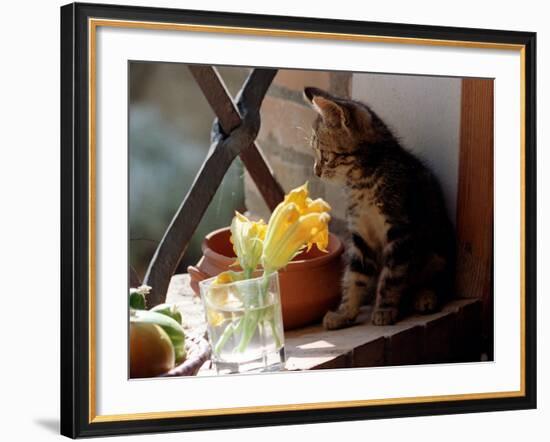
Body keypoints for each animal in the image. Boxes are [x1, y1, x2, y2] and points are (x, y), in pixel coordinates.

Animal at [304, 87, 454, 328]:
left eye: (325, 155)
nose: (316, 171)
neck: (362, 182)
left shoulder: (401, 231)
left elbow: (391, 277)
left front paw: (384, 309)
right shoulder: (361, 236)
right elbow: (354, 276)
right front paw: (344, 313)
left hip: (438, 247)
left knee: (438, 280)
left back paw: (425, 296)